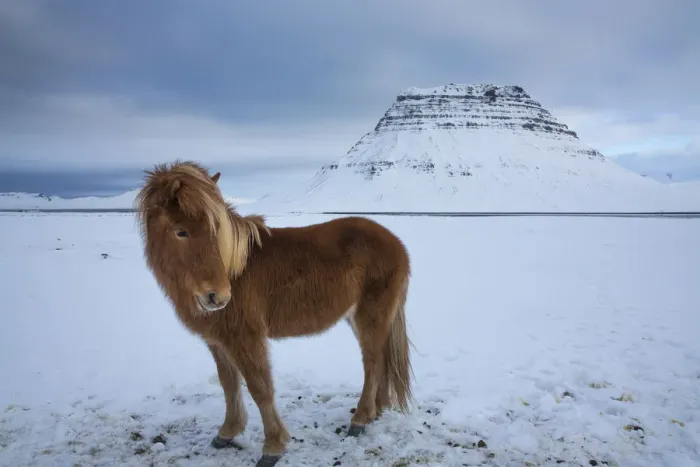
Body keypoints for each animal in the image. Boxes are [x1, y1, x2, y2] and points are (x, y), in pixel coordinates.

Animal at [134, 161, 414, 467]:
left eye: (216, 229)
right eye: (181, 231)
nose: (218, 296)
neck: (235, 269)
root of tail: (395, 243)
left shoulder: (246, 338)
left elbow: (260, 389)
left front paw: (273, 447)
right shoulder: (218, 342)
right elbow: (229, 384)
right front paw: (227, 432)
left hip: (370, 316)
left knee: (372, 363)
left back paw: (360, 420)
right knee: (381, 359)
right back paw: (377, 410)